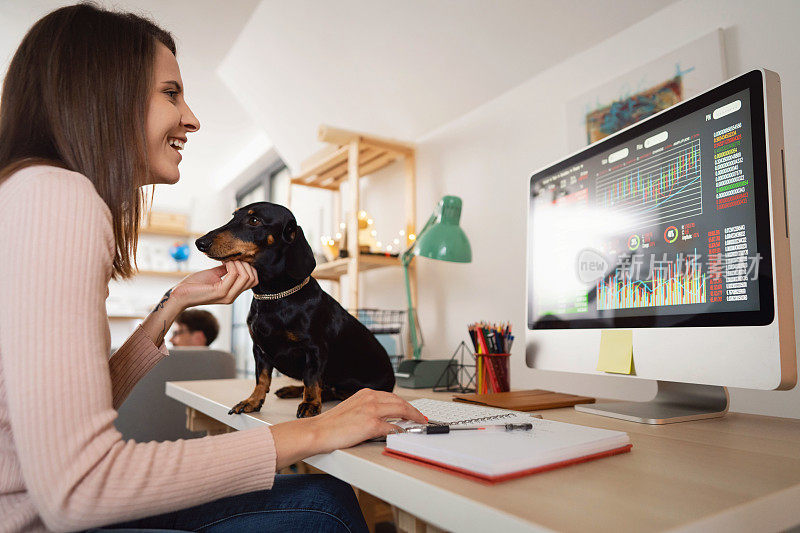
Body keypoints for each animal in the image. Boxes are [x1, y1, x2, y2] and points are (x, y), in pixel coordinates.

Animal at [194, 202, 394, 418]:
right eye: (233, 216)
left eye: (254, 220)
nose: (200, 242)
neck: (275, 297)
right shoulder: (259, 350)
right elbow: (261, 378)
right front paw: (252, 401)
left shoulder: (315, 350)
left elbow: (311, 379)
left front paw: (310, 404)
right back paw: (291, 389)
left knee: (331, 390)